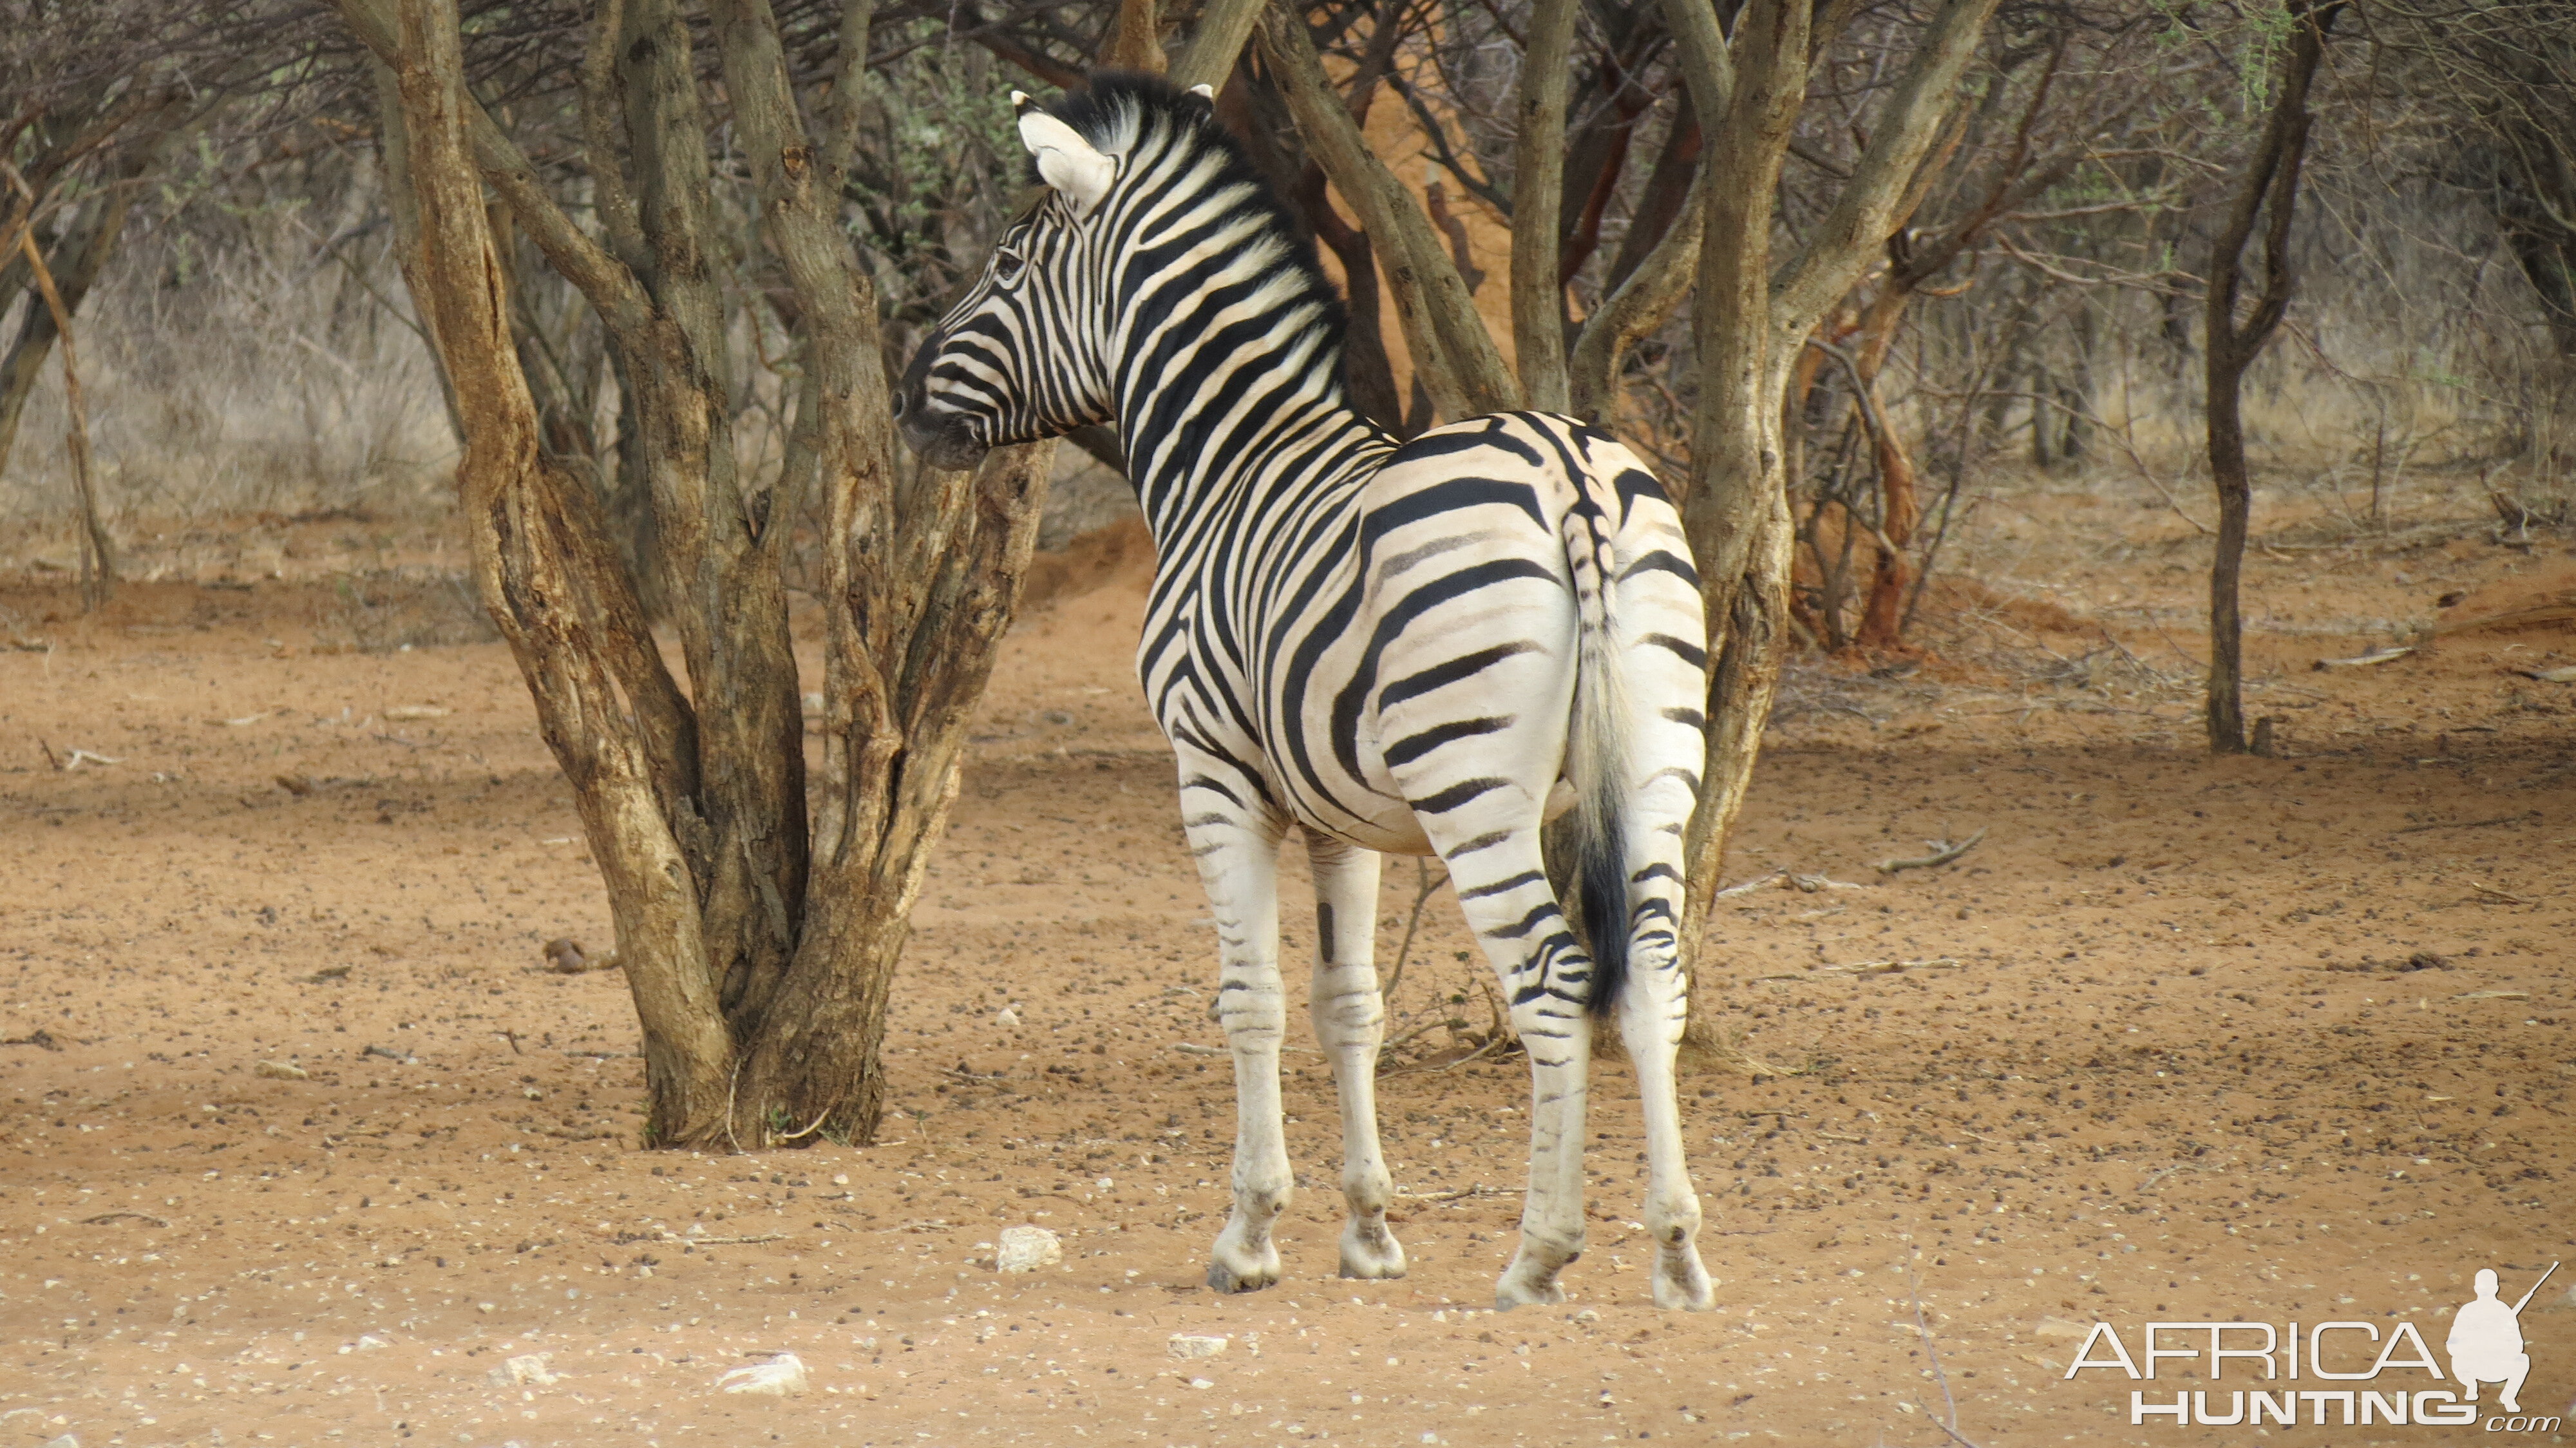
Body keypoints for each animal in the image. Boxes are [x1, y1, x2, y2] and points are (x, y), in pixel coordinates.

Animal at [896, 76, 1721, 1309]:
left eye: (1004, 264)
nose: (905, 396)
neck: (1225, 462)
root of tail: (1569, 473)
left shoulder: (1213, 775)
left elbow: (1253, 1000)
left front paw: (1249, 1233)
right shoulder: (1346, 814)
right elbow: (1349, 1006)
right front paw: (1369, 1230)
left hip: (1475, 787)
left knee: (1552, 975)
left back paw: (1540, 1249)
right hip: (1658, 763)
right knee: (1655, 972)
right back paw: (1674, 1247)